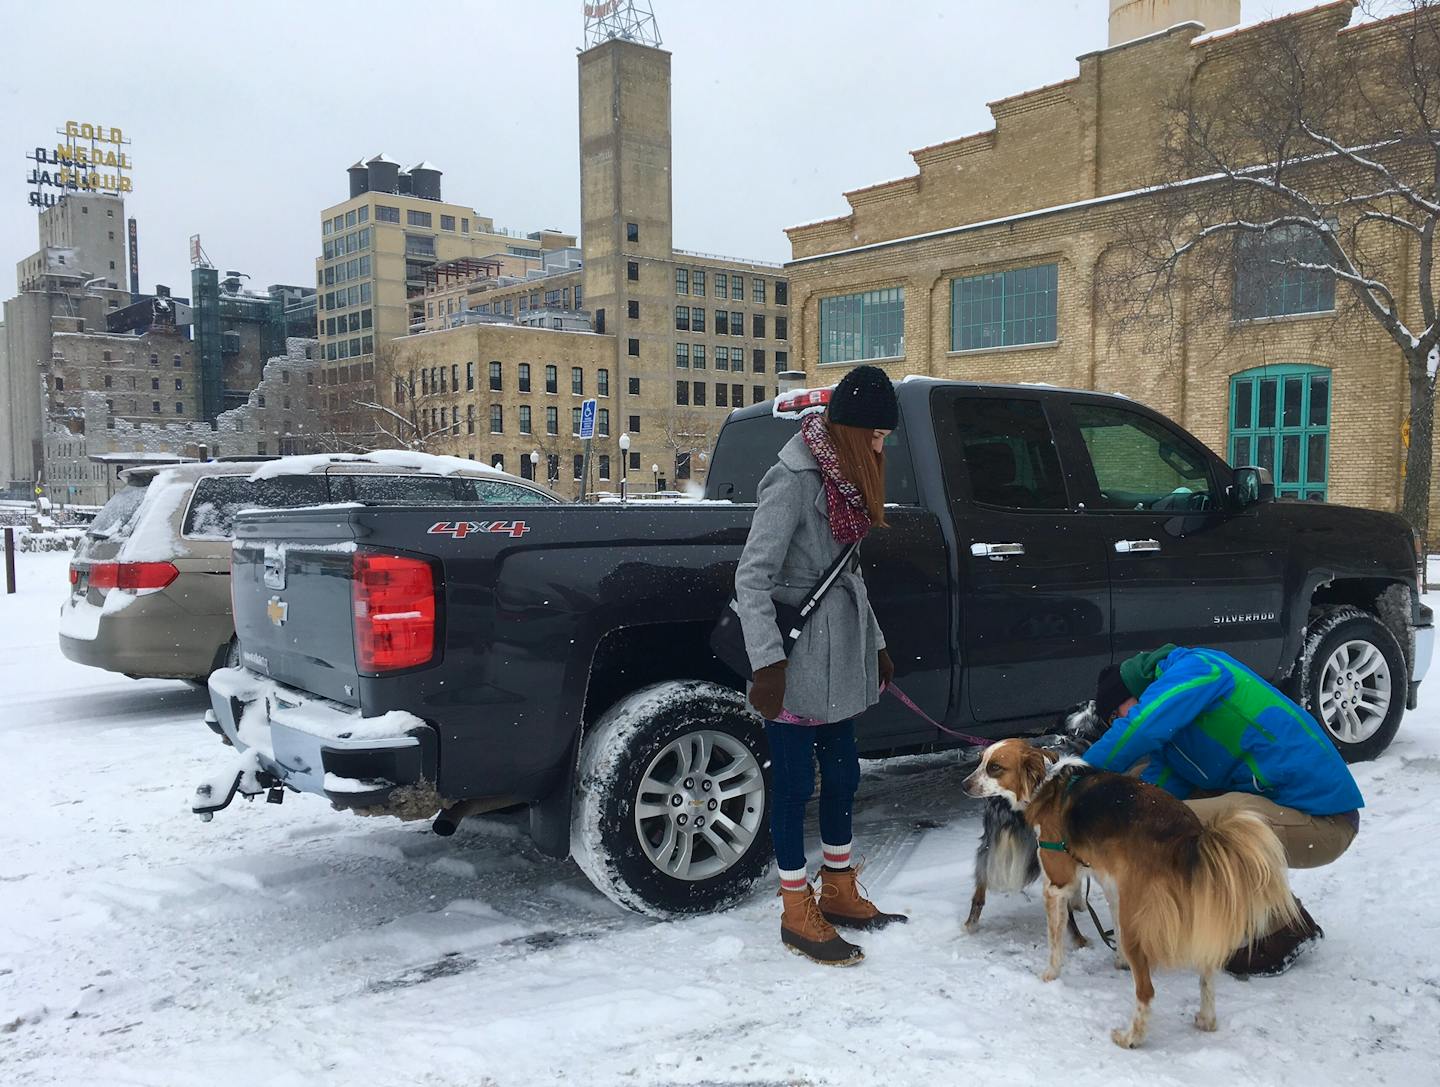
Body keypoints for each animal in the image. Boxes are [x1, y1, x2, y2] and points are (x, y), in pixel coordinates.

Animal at [961, 737, 1301, 1048]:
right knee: (1206, 972)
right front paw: (1119, 961)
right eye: (980, 760)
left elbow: (1056, 940)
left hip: (1140, 918)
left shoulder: (1057, 884)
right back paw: (1206, 1019)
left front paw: (1050, 975)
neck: (1047, 783)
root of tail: (1190, 838)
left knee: (1146, 992)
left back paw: (1130, 1037)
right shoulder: (1113, 885)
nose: (964, 785)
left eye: (995, 767)